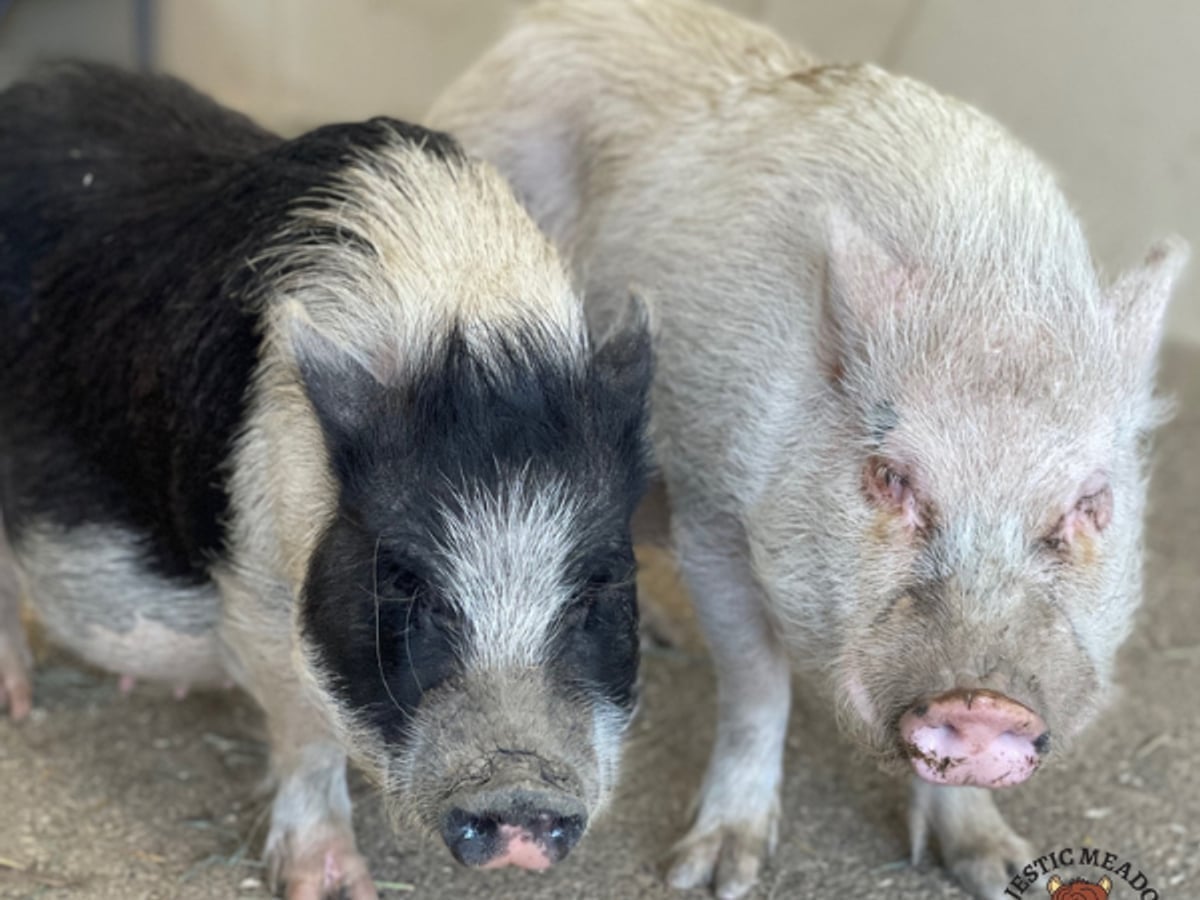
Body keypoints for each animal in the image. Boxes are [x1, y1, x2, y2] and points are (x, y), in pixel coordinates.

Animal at [0, 63, 652, 898]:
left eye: (598, 586)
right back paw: (17, 708)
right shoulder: (254, 590)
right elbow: (307, 733)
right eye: (405, 581)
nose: (520, 795)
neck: (470, 333)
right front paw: (336, 886)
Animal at [429, 1, 1188, 897]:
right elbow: (758, 684)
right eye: (888, 476)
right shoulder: (713, 504)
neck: (982, 283)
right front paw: (712, 875)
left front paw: (998, 867)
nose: (982, 704)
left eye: (1091, 504)